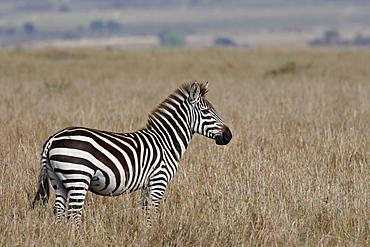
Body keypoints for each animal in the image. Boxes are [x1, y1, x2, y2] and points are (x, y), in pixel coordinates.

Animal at [32, 81, 231, 226]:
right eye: (206, 112)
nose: (228, 135)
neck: (166, 142)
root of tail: (53, 138)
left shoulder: (147, 184)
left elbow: (145, 211)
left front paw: (145, 232)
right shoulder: (159, 180)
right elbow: (153, 212)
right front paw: (153, 233)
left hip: (58, 180)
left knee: (59, 211)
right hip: (78, 178)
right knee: (74, 214)